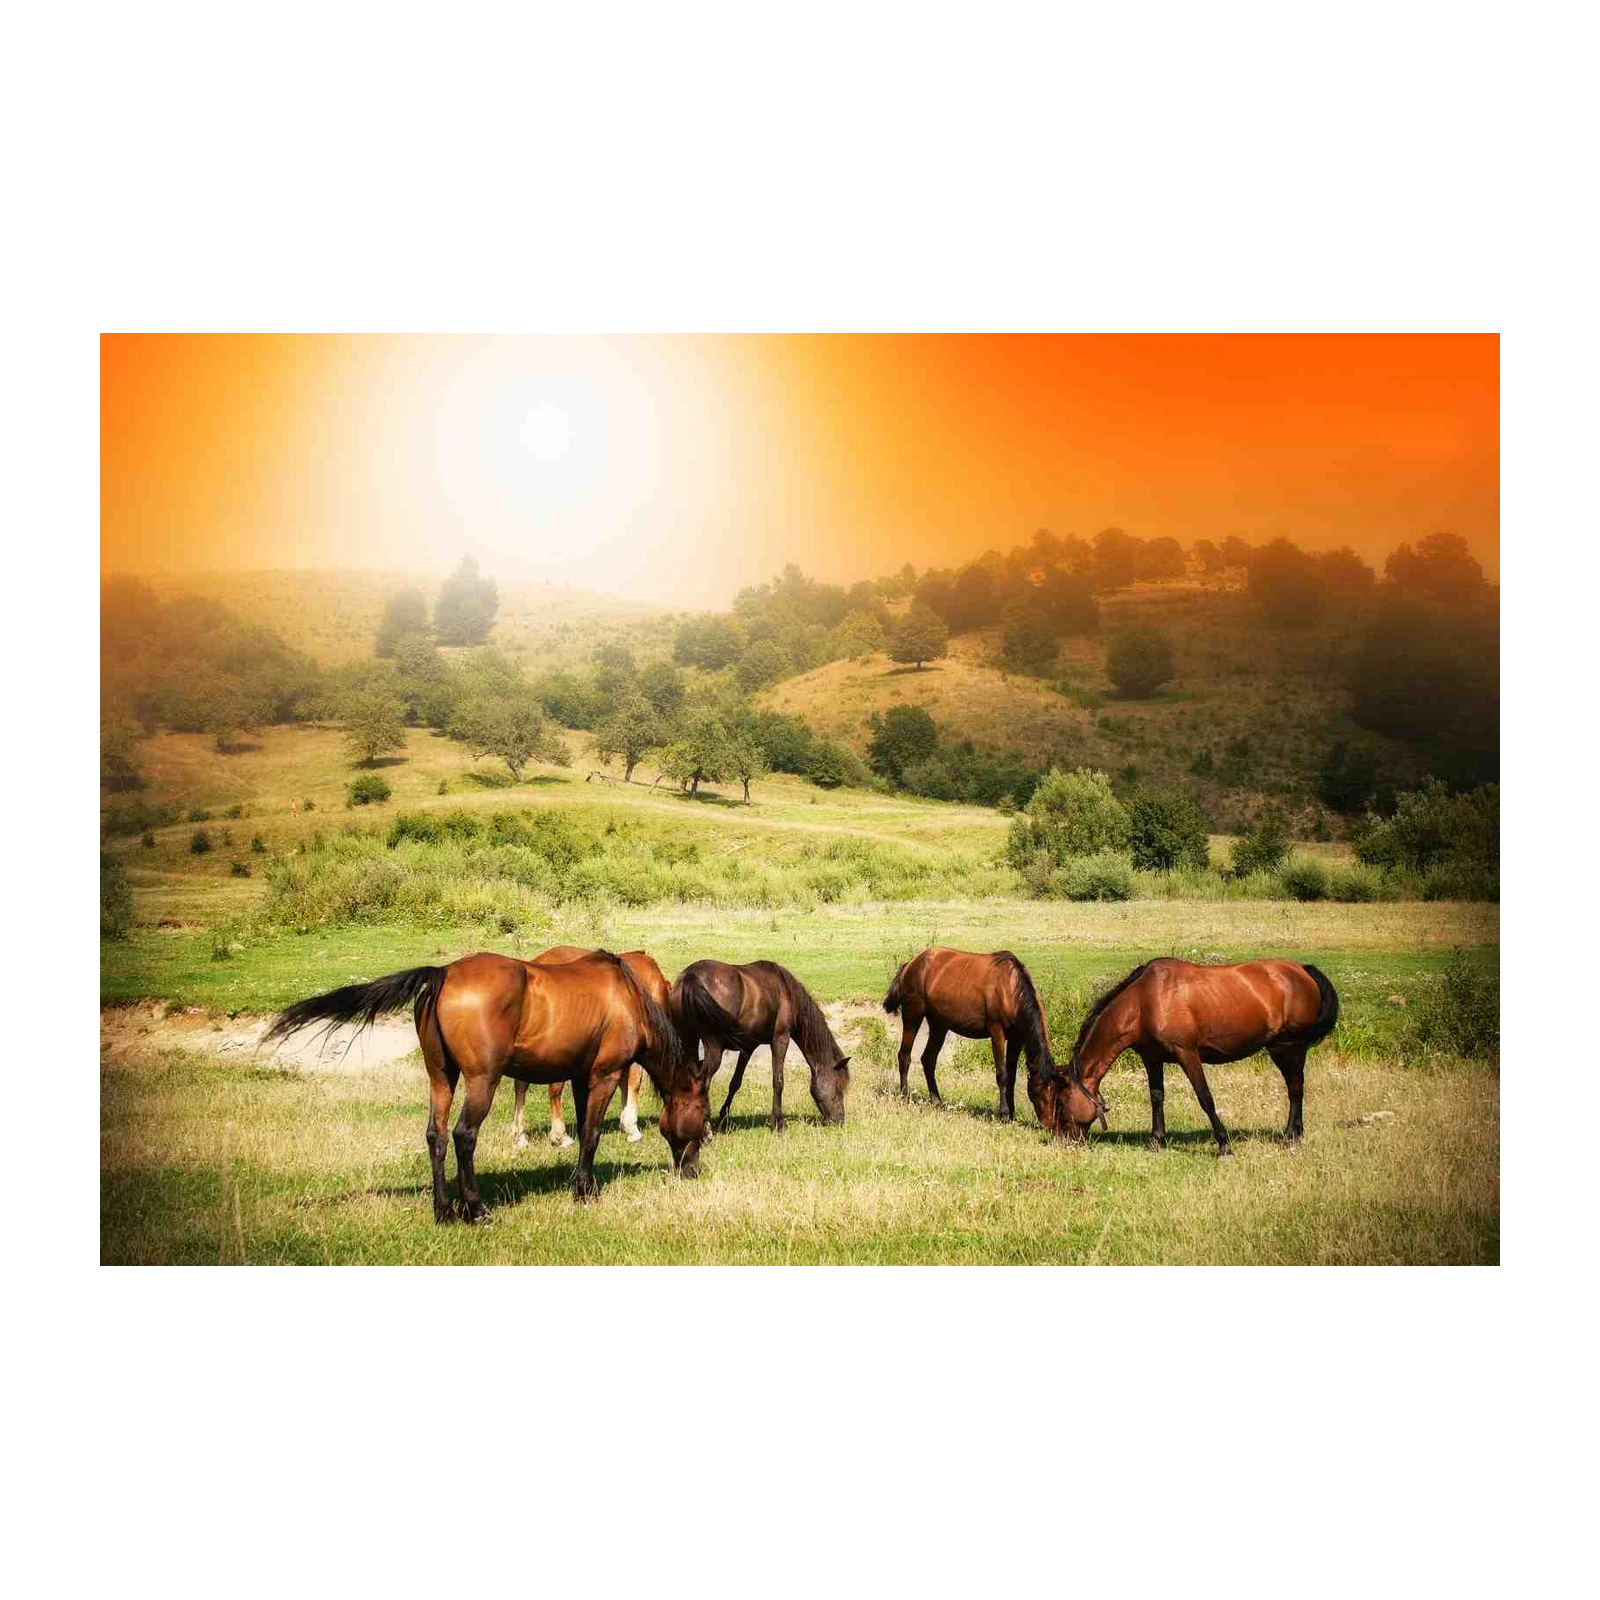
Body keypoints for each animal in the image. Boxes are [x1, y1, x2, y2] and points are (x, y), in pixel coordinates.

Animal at [509, 946, 657, 1151]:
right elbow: (634, 1082)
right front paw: (632, 1127)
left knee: (521, 1085)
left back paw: (520, 1136)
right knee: (553, 1089)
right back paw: (560, 1136)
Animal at [672, 959, 851, 1131]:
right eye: (838, 1087)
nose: (839, 1120)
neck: (786, 991)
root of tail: (692, 977)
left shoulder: (748, 1047)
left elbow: (735, 1082)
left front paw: (723, 1117)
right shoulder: (780, 1039)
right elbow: (778, 1081)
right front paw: (778, 1122)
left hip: (689, 1041)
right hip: (714, 1048)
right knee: (702, 1081)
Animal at [883, 947, 1102, 1129]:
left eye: (1058, 1096)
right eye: (1036, 1092)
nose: (1048, 1124)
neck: (1011, 990)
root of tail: (912, 963)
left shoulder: (1016, 1039)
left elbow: (1012, 1076)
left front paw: (1012, 1113)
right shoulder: (997, 1033)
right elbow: (1002, 1074)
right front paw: (1003, 1114)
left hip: (939, 1025)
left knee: (928, 1059)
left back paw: (936, 1100)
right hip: (913, 1014)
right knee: (904, 1055)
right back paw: (904, 1095)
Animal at [1047, 958, 1341, 1156]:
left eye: (1060, 1103)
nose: (1060, 1141)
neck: (1145, 1001)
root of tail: (1301, 969)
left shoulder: (1187, 1054)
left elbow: (1205, 1098)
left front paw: (1224, 1145)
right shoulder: (1152, 1059)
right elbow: (1156, 1098)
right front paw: (1156, 1141)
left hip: (1288, 1048)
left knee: (1295, 1088)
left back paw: (1290, 1135)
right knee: (1297, 1087)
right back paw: (1296, 1134)